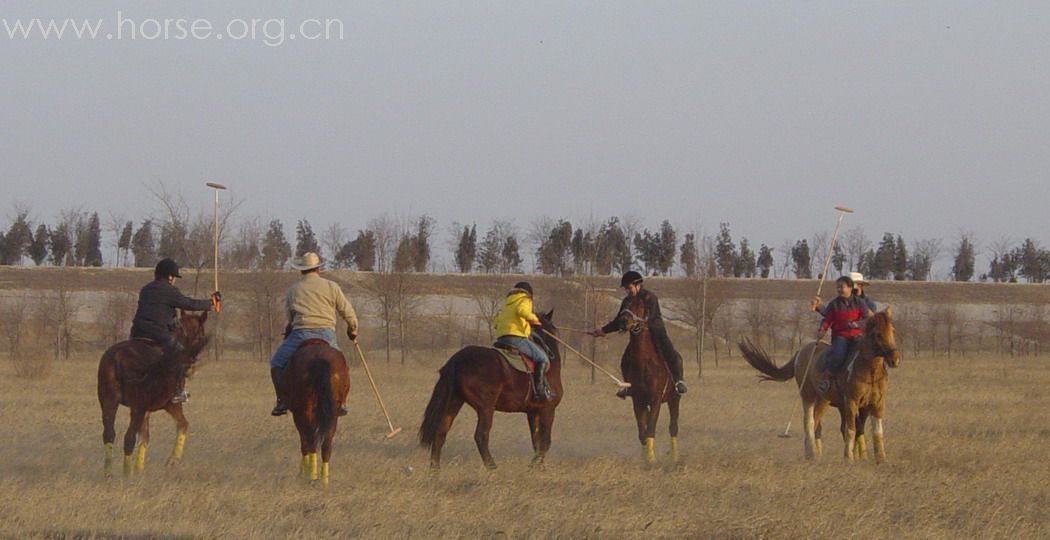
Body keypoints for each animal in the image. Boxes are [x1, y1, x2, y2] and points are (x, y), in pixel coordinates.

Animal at [98, 308, 211, 472]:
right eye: (201, 335)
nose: (192, 363)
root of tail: (119, 356)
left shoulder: (146, 411)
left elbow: (145, 438)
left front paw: (139, 470)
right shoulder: (171, 405)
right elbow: (183, 424)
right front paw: (172, 461)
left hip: (109, 402)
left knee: (109, 434)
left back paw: (109, 473)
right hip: (137, 407)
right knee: (128, 438)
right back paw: (126, 475)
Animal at [283, 338, 348, 485]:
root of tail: (319, 359)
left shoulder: (298, 413)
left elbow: (304, 442)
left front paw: (302, 472)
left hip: (305, 409)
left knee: (310, 441)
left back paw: (311, 476)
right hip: (333, 412)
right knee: (326, 443)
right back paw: (324, 480)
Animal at [419, 308, 567, 468]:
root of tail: (457, 360)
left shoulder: (533, 412)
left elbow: (537, 442)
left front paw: (539, 467)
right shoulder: (548, 409)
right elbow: (545, 442)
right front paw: (534, 466)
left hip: (454, 402)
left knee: (440, 433)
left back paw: (435, 469)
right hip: (485, 408)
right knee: (481, 436)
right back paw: (492, 467)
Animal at [617, 292, 684, 464]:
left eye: (639, 306)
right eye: (625, 304)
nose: (623, 321)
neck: (644, 362)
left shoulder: (656, 400)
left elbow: (651, 428)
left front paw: (652, 459)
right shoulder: (638, 401)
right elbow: (642, 431)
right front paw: (645, 459)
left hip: (674, 400)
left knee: (673, 427)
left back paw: (674, 457)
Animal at [739, 304, 902, 460]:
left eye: (893, 330)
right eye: (877, 334)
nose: (894, 360)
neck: (869, 371)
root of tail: (801, 352)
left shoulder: (876, 403)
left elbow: (875, 431)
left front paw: (879, 458)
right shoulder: (851, 402)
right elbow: (851, 429)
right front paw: (849, 458)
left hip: (826, 401)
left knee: (819, 424)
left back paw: (816, 453)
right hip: (808, 396)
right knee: (810, 422)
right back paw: (811, 453)